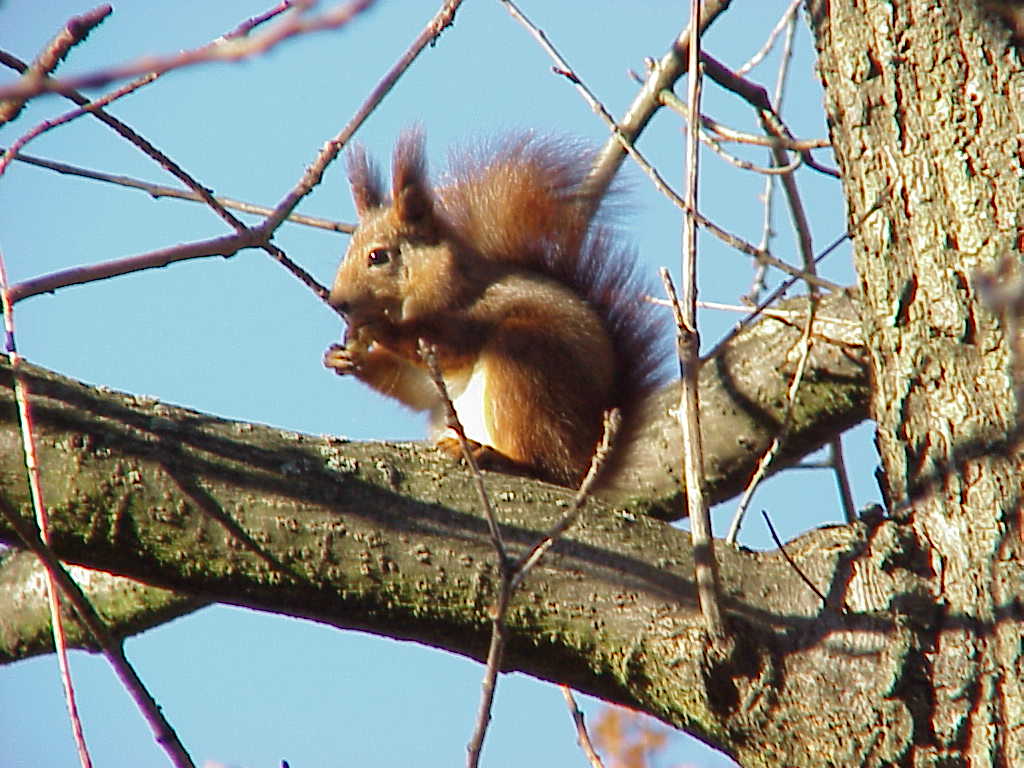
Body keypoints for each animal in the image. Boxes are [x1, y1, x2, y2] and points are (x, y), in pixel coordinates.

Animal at [323, 128, 667, 487]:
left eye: (378, 256)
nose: (338, 301)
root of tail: (589, 459)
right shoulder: (427, 380)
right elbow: (413, 384)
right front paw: (345, 356)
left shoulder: (473, 315)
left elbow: (446, 347)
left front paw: (377, 327)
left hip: (525, 365)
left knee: (550, 464)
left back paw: (496, 456)